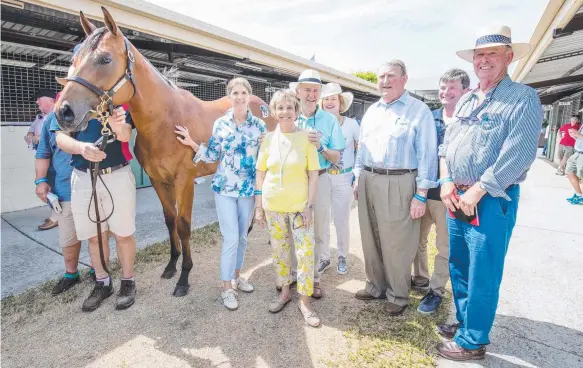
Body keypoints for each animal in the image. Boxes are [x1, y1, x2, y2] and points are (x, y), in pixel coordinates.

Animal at [53, 6, 278, 296]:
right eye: (75, 59)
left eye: (104, 59)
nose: (64, 112)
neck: (165, 122)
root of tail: (264, 105)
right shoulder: (159, 181)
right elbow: (170, 220)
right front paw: (172, 266)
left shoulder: (184, 181)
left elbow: (183, 225)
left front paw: (184, 277)